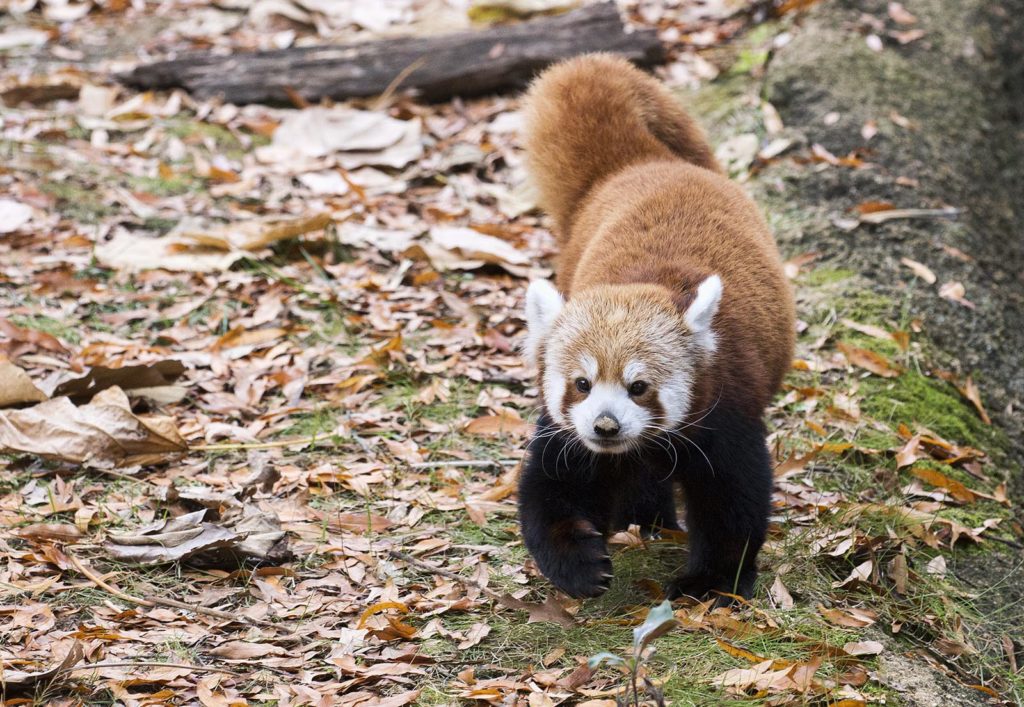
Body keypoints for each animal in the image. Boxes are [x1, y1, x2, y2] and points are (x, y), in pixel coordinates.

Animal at [516, 53, 794, 598]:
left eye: (639, 386)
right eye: (582, 384)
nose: (606, 426)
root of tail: (644, 164)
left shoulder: (725, 406)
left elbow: (732, 500)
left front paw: (710, 580)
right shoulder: (569, 436)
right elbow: (551, 489)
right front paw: (580, 564)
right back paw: (644, 517)